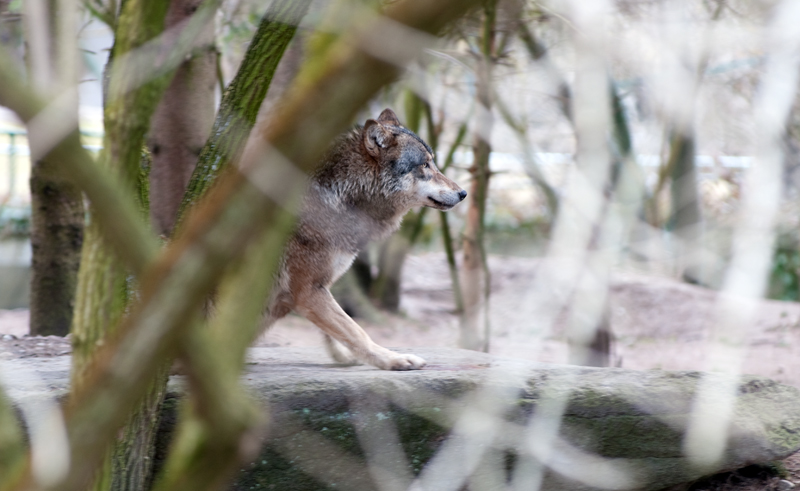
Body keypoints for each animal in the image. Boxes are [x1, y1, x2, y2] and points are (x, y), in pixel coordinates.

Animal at [263, 108, 466, 370]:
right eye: (425, 165)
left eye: (434, 163)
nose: (464, 193)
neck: (339, 196)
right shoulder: (307, 290)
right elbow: (356, 331)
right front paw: (394, 359)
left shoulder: (318, 287)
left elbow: (337, 331)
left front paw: (344, 357)